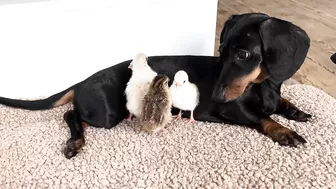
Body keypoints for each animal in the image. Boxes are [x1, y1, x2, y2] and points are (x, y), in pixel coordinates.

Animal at [0, 12, 310, 159]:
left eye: (243, 54)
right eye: (221, 50)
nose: (215, 95)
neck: (262, 85)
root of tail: (81, 82)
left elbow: (281, 104)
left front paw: (296, 112)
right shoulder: (233, 110)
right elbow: (263, 117)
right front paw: (285, 132)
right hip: (106, 114)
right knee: (70, 115)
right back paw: (75, 142)